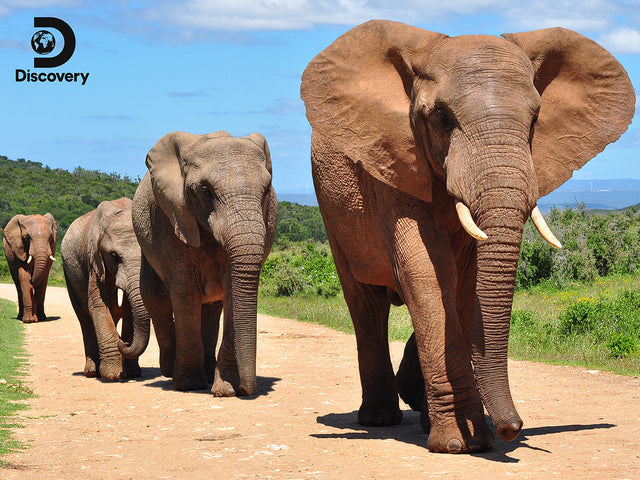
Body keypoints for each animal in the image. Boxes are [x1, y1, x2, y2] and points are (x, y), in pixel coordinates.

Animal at [61, 198, 150, 380]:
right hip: (68, 271)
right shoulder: (94, 259)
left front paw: (132, 373)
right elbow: (98, 304)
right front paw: (112, 375)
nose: (123, 342)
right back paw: (91, 371)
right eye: (114, 256)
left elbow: (129, 309)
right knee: (84, 317)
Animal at [131, 131, 277, 395]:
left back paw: (207, 373)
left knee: (210, 308)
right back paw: (170, 372)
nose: (247, 390)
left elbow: (231, 290)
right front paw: (189, 385)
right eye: (206, 191)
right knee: (156, 298)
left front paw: (226, 389)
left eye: (266, 190)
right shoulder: (172, 217)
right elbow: (185, 292)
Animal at [300, 20, 635, 453]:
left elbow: (463, 283)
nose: (513, 428)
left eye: (535, 120)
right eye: (442, 118)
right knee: (366, 305)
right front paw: (462, 443)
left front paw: (473, 436)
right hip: (333, 208)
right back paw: (379, 419)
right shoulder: (394, 160)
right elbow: (427, 272)